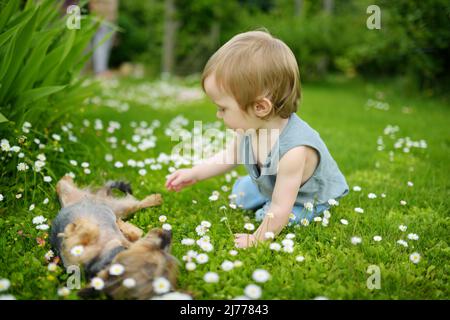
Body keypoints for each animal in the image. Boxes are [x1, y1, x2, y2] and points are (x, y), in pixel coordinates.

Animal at [51, 175, 179, 300]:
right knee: (60, 184)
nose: (168, 234)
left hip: (122, 208)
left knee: (135, 204)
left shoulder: (73, 258)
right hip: (71, 195)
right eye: (157, 245)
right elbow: (137, 232)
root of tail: (100, 197)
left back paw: (155, 199)